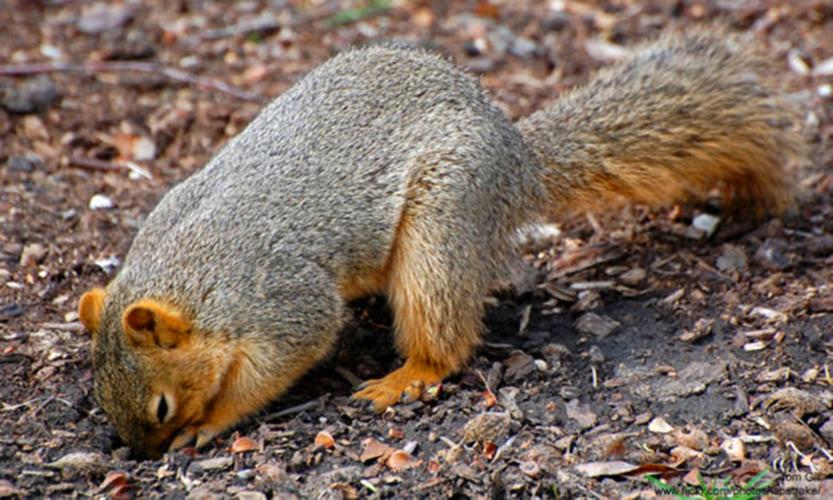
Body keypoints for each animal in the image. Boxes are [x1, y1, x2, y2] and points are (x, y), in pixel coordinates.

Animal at [78, 29, 803, 457]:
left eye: (163, 404)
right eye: (105, 401)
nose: (144, 453)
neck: (189, 273)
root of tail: (518, 160)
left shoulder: (281, 300)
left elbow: (279, 361)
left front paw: (209, 422)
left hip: (443, 221)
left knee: (444, 335)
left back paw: (405, 378)